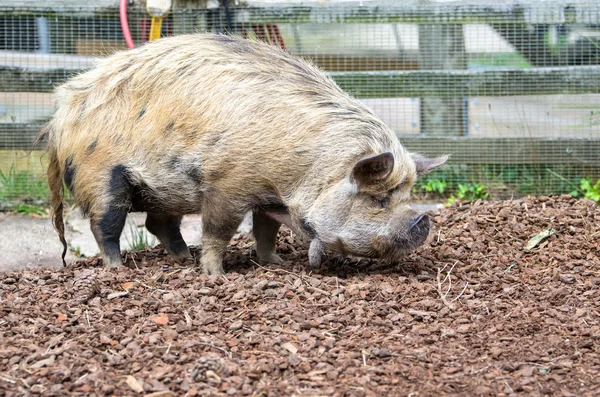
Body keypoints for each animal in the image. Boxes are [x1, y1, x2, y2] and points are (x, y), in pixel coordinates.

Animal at [39, 32, 446, 274]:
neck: (304, 170)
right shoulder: (227, 183)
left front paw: (276, 262)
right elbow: (219, 230)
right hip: (101, 177)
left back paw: (183, 258)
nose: (423, 219)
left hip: (163, 189)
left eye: (407, 195)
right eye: (378, 199)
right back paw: (120, 269)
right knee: (105, 226)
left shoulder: (269, 196)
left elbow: (265, 231)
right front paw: (215, 274)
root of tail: (60, 117)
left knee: (158, 224)